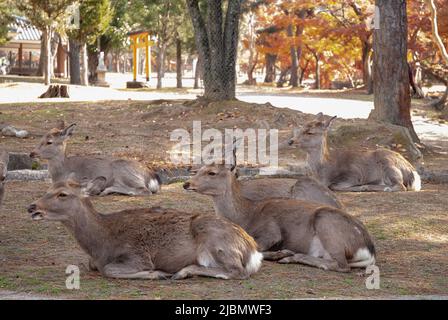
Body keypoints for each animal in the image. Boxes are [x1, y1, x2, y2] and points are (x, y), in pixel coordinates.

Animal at [28, 179, 262, 282]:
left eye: (62, 194)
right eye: (48, 188)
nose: (32, 207)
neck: (100, 243)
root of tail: (253, 250)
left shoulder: (137, 256)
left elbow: (109, 270)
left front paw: (157, 273)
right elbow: (94, 266)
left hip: (215, 242)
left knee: (236, 271)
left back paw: (181, 272)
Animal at [29, 122, 161, 196]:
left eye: (49, 142)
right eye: (41, 138)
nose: (32, 153)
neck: (59, 175)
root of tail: (153, 177)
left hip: (125, 173)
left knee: (144, 190)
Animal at [184, 162, 376, 272]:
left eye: (212, 172)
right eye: (198, 169)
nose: (186, 183)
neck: (245, 216)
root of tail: (369, 251)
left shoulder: (272, 231)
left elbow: (258, 248)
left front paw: (280, 253)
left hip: (325, 221)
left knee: (341, 266)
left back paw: (290, 256)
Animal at [286, 113, 422, 192]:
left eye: (310, 132)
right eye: (301, 129)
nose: (290, 141)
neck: (324, 173)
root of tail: (413, 171)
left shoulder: (353, 174)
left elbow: (334, 186)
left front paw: (360, 186)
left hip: (389, 165)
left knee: (401, 186)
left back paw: (373, 187)